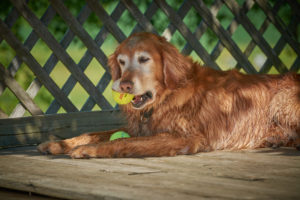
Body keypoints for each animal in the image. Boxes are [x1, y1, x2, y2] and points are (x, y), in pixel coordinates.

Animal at [38, 32, 300, 159]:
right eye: (122, 61)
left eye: (144, 59)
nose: (124, 86)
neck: (166, 96)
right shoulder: (141, 127)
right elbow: (96, 133)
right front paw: (60, 143)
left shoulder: (184, 137)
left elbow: (123, 141)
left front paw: (87, 150)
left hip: (283, 101)